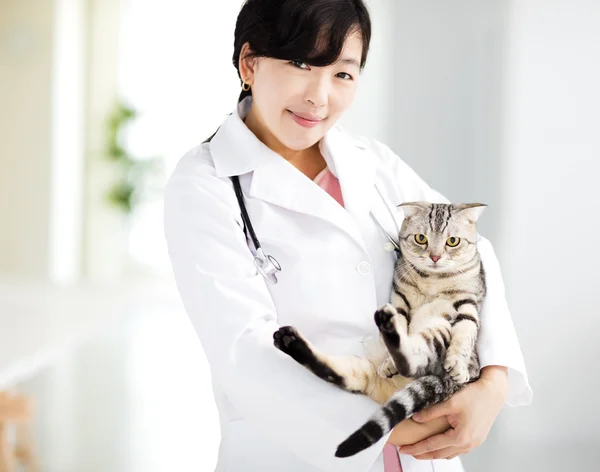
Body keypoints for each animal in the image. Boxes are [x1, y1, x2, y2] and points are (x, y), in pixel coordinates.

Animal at [272, 202, 488, 458]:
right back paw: (290, 340)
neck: (432, 279)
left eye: (452, 241)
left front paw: (458, 364)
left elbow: (465, 332)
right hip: (362, 370)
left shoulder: (467, 303)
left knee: (413, 357)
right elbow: (402, 322)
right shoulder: (400, 300)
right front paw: (389, 358)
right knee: (336, 371)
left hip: (440, 328)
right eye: (421, 238)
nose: (435, 257)